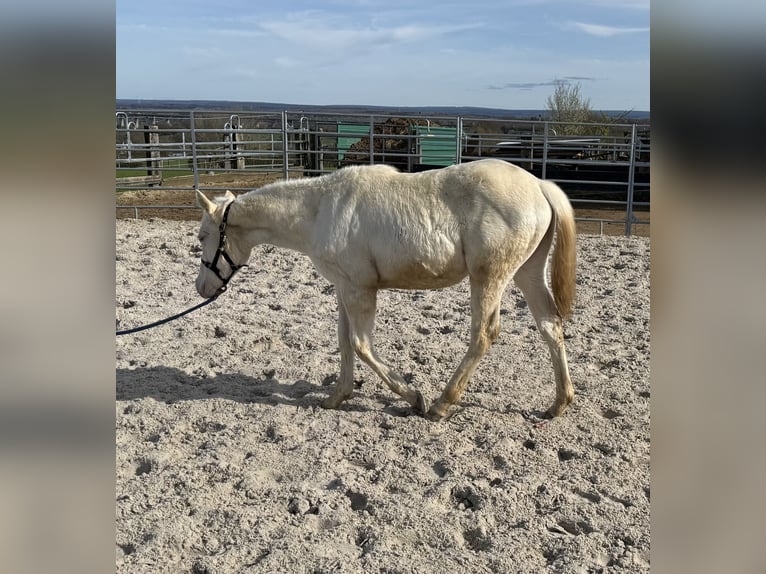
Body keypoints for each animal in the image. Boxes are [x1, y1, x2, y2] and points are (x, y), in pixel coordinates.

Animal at [194, 159, 576, 421]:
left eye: (202, 236)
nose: (201, 288)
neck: (320, 211)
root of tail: (540, 186)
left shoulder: (360, 290)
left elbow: (361, 345)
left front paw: (414, 397)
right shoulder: (344, 288)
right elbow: (344, 341)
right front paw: (336, 397)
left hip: (488, 278)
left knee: (484, 334)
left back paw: (441, 404)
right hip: (527, 272)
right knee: (550, 326)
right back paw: (558, 403)